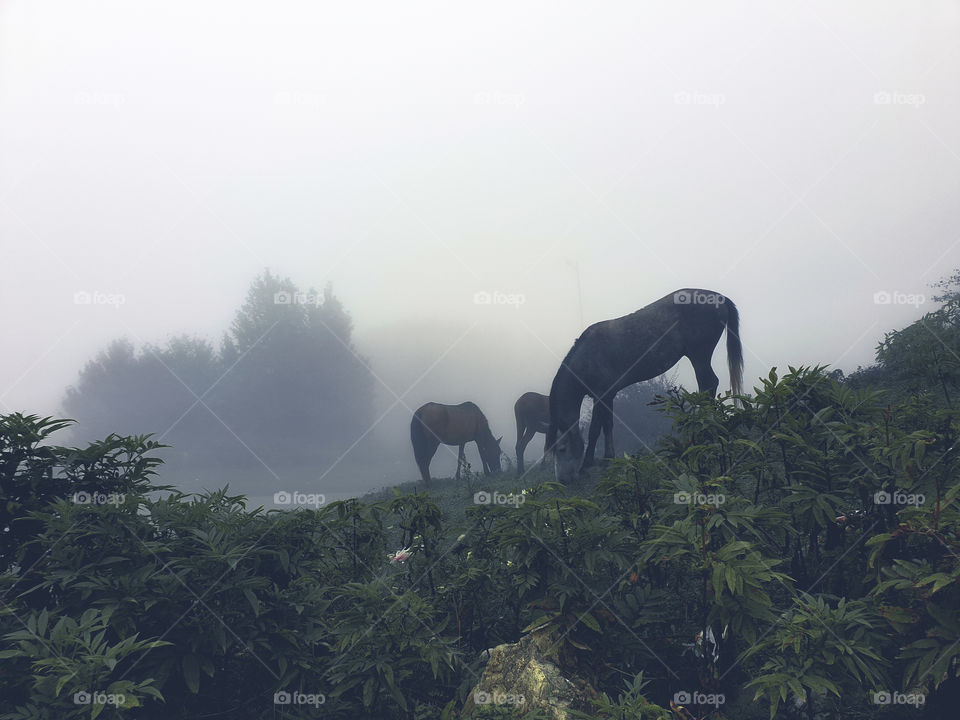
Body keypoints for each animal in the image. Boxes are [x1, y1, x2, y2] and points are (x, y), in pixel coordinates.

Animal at [546, 288, 742, 483]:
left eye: (562, 449)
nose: (562, 480)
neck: (586, 358)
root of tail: (718, 296)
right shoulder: (608, 395)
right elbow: (608, 425)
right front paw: (609, 458)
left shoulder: (601, 395)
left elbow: (594, 429)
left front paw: (587, 464)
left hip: (699, 354)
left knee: (709, 383)